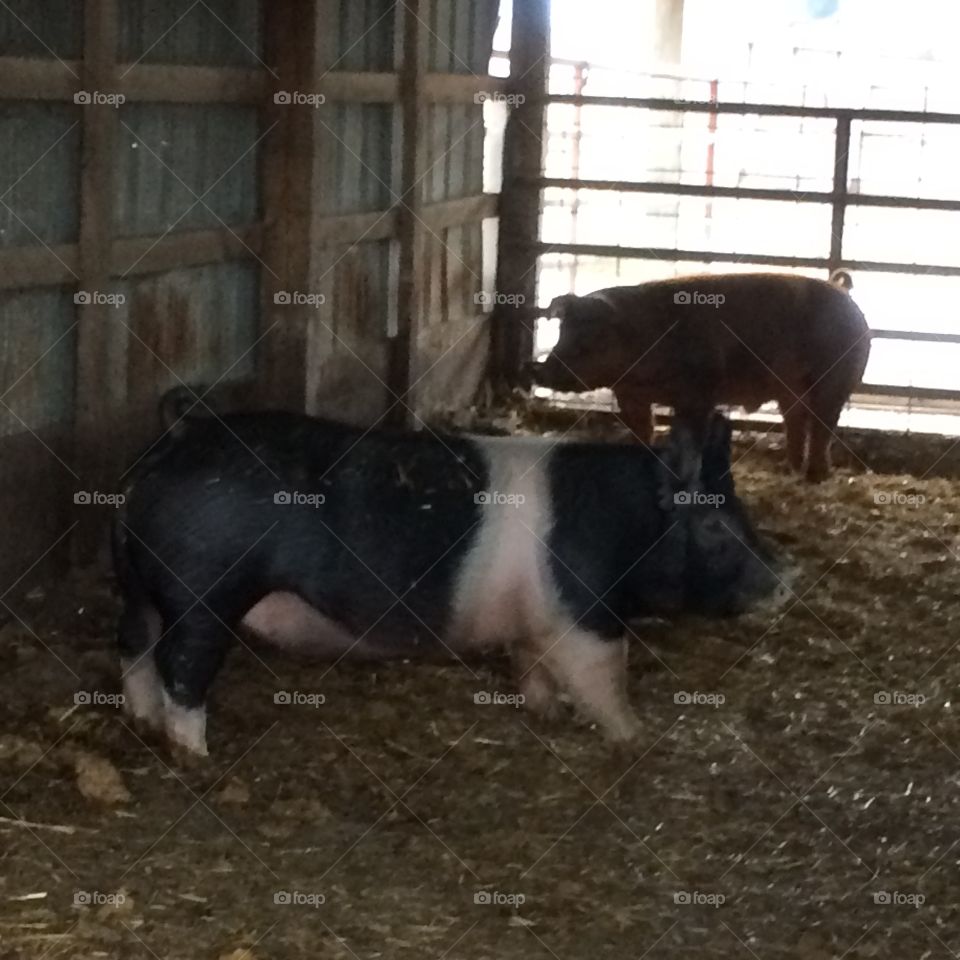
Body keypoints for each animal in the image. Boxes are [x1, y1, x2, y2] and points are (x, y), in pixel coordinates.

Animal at [114, 398, 785, 757]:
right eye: (718, 526)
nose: (785, 581)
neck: (629, 526)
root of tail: (169, 446)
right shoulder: (586, 612)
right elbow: (603, 677)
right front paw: (636, 738)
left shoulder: (537, 622)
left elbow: (533, 667)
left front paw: (546, 715)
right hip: (205, 593)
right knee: (182, 666)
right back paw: (195, 753)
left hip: (134, 584)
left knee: (134, 649)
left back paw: (142, 723)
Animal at [531, 273, 871, 482]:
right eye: (562, 333)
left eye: (589, 341)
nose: (537, 370)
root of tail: (844, 294)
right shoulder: (630, 394)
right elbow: (642, 429)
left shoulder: (699, 393)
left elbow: (691, 435)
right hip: (791, 390)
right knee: (796, 421)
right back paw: (790, 469)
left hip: (834, 380)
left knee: (823, 426)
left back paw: (815, 477)